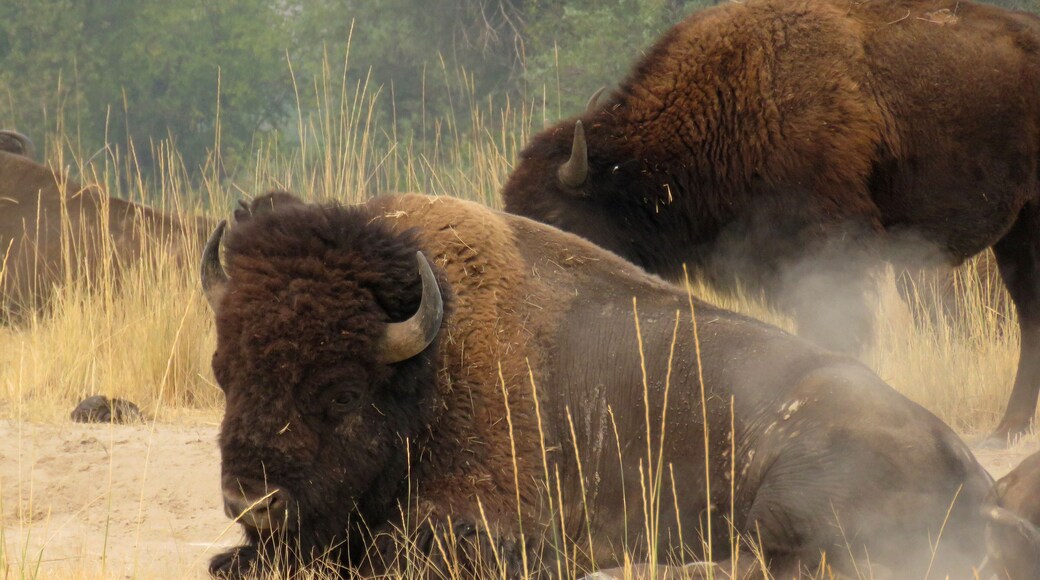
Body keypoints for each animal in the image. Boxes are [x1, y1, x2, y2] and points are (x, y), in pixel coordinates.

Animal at [201, 192, 1002, 578]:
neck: (430, 369)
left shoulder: (484, 526)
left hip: (788, 487)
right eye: (222, 373)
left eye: (341, 393)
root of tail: (967, 462)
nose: (251, 502)